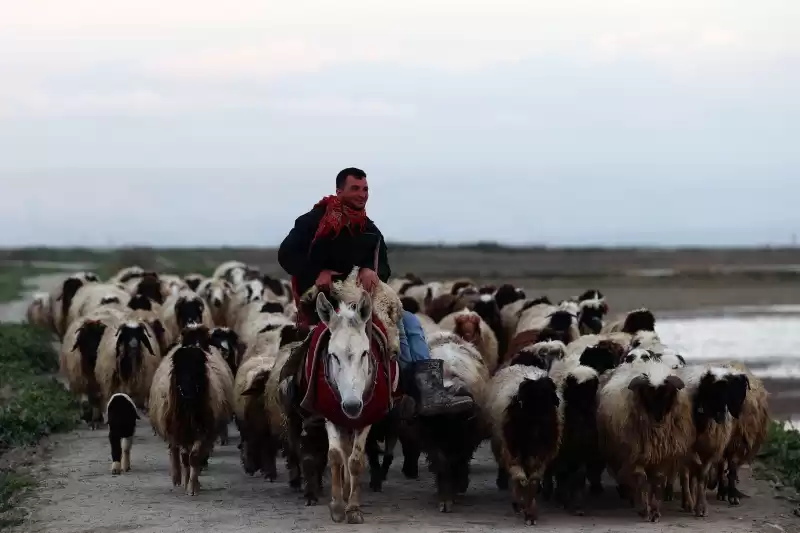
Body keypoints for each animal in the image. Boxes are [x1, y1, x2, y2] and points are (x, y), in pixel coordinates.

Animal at [148, 332, 233, 494]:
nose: (188, 393)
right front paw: (186, 481)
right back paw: (176, 477)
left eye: (197, 370)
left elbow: (194, 457)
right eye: (180, 370)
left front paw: (193, 486)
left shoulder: (203, 431)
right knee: (174, 451)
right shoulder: (179, 431)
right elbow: (184, 457)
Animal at [482, 364, 564, 524]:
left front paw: (531, 513)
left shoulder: (541, 453)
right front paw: (520, 506)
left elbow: (533, 481)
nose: (540, 428)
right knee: (517, 477)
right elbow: (520, 479)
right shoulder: (512, 450)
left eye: (549, 400)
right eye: (527, 400)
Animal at [596, 360, 696, 520]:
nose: (658, 418)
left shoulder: (663, 457)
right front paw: (644, 509)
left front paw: (655, 510)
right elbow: (641, 480)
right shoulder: (634, 456)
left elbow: (658, 482)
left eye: (668, 393)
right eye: (647, 393)